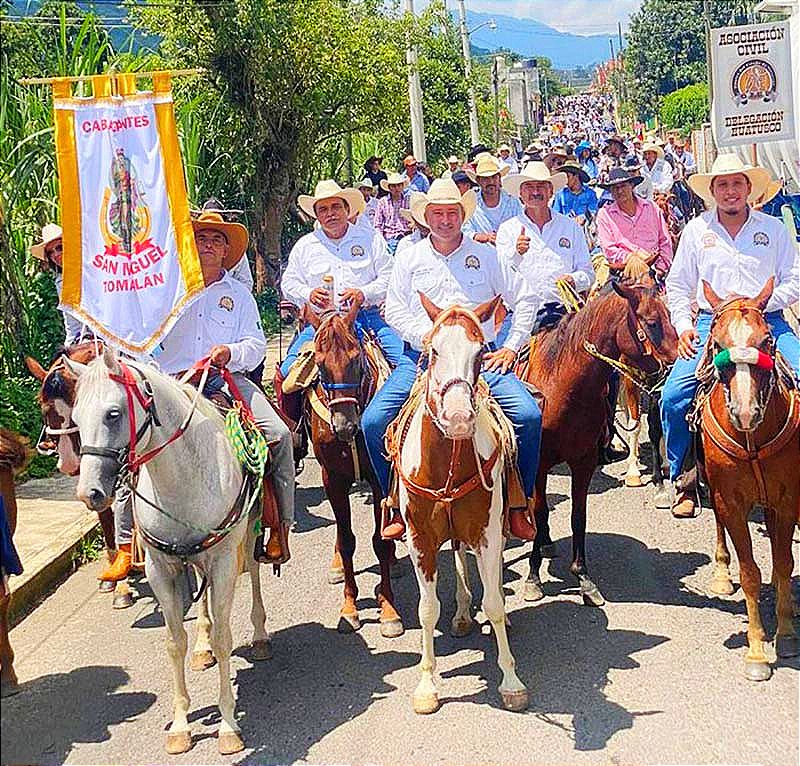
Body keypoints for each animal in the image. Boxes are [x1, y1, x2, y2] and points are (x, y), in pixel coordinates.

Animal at [65, 352, 268, 760]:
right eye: (75, 417)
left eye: (113, 414)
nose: (89, 493)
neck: (183, 480)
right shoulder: (161, 569)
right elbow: (175, 643)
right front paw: (179, 727)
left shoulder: (224, 561)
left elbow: (224, 637)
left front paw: (227, 725)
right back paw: (202, 647)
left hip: (248, 535)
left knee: (253, 572)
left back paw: (260, 635)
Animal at [300, 304, 404, 640]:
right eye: (319, 366)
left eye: (356, 359)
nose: (344, 426)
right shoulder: (332, 479)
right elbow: (346, 541)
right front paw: (349, 608)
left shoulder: (380, 479)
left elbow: (380, 542)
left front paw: (389, 610)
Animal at [386, 296, 528, 716]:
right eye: (433, 350)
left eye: (480, 353)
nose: (459, 417)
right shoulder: (420, 540)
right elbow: (427, 609)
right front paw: (426, 686)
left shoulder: (486, 531)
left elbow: (494, 602)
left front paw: (511, 680)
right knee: (459, 556)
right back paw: (463, 612)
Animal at [516, 280, 680, 608]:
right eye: (652, 323)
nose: (678, 362)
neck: (562, 389)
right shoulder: (539, 464)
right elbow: (539, 512)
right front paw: (533, 577)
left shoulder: (584, 461)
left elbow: (578, 517)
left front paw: (584, 578)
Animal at [696, 280, 796, 680]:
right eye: (717, 343)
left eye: (767, 340)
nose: (744, 412)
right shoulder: (731, 501)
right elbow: (750, 572)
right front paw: (756, 651)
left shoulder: (787, 499)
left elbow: (784, 563)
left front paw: (786, 632)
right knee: (719, 527)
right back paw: (722, 572)